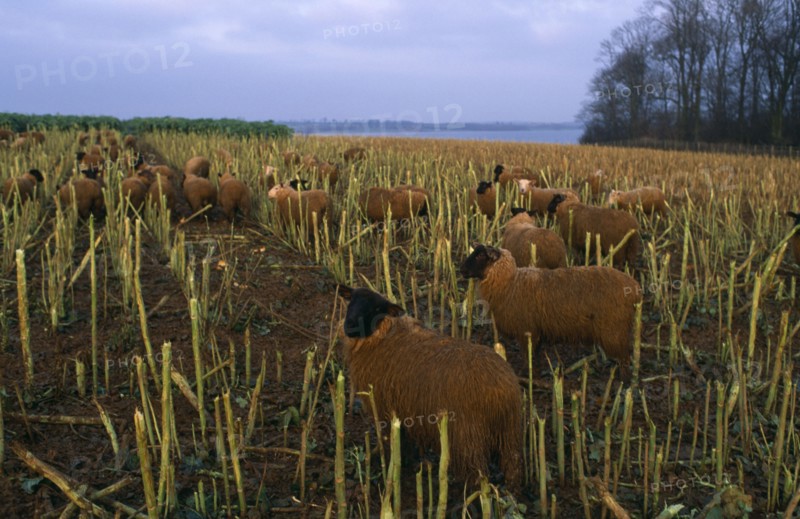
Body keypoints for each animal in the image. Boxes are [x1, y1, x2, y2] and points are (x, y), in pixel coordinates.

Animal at [337, 285, 522, 490]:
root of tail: (502, 390)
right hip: (509, 433)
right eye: (352, 299)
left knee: (477, 474)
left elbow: (393, 440)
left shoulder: (383, 406)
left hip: (467, 437)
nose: (349, 325)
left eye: (378, 309)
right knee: (513, 466)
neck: (383, 337)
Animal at [460, 244, 641, 380]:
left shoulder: (526, 330)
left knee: (625, 357)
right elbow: (536, 354)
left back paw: (625, 382)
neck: (510, 284)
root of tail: (634, 288)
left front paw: (526, 374)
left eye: (480, 256)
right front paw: (536, 373)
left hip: (614, 329)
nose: (461, 270)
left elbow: (527, 355)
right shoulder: (536, 330)